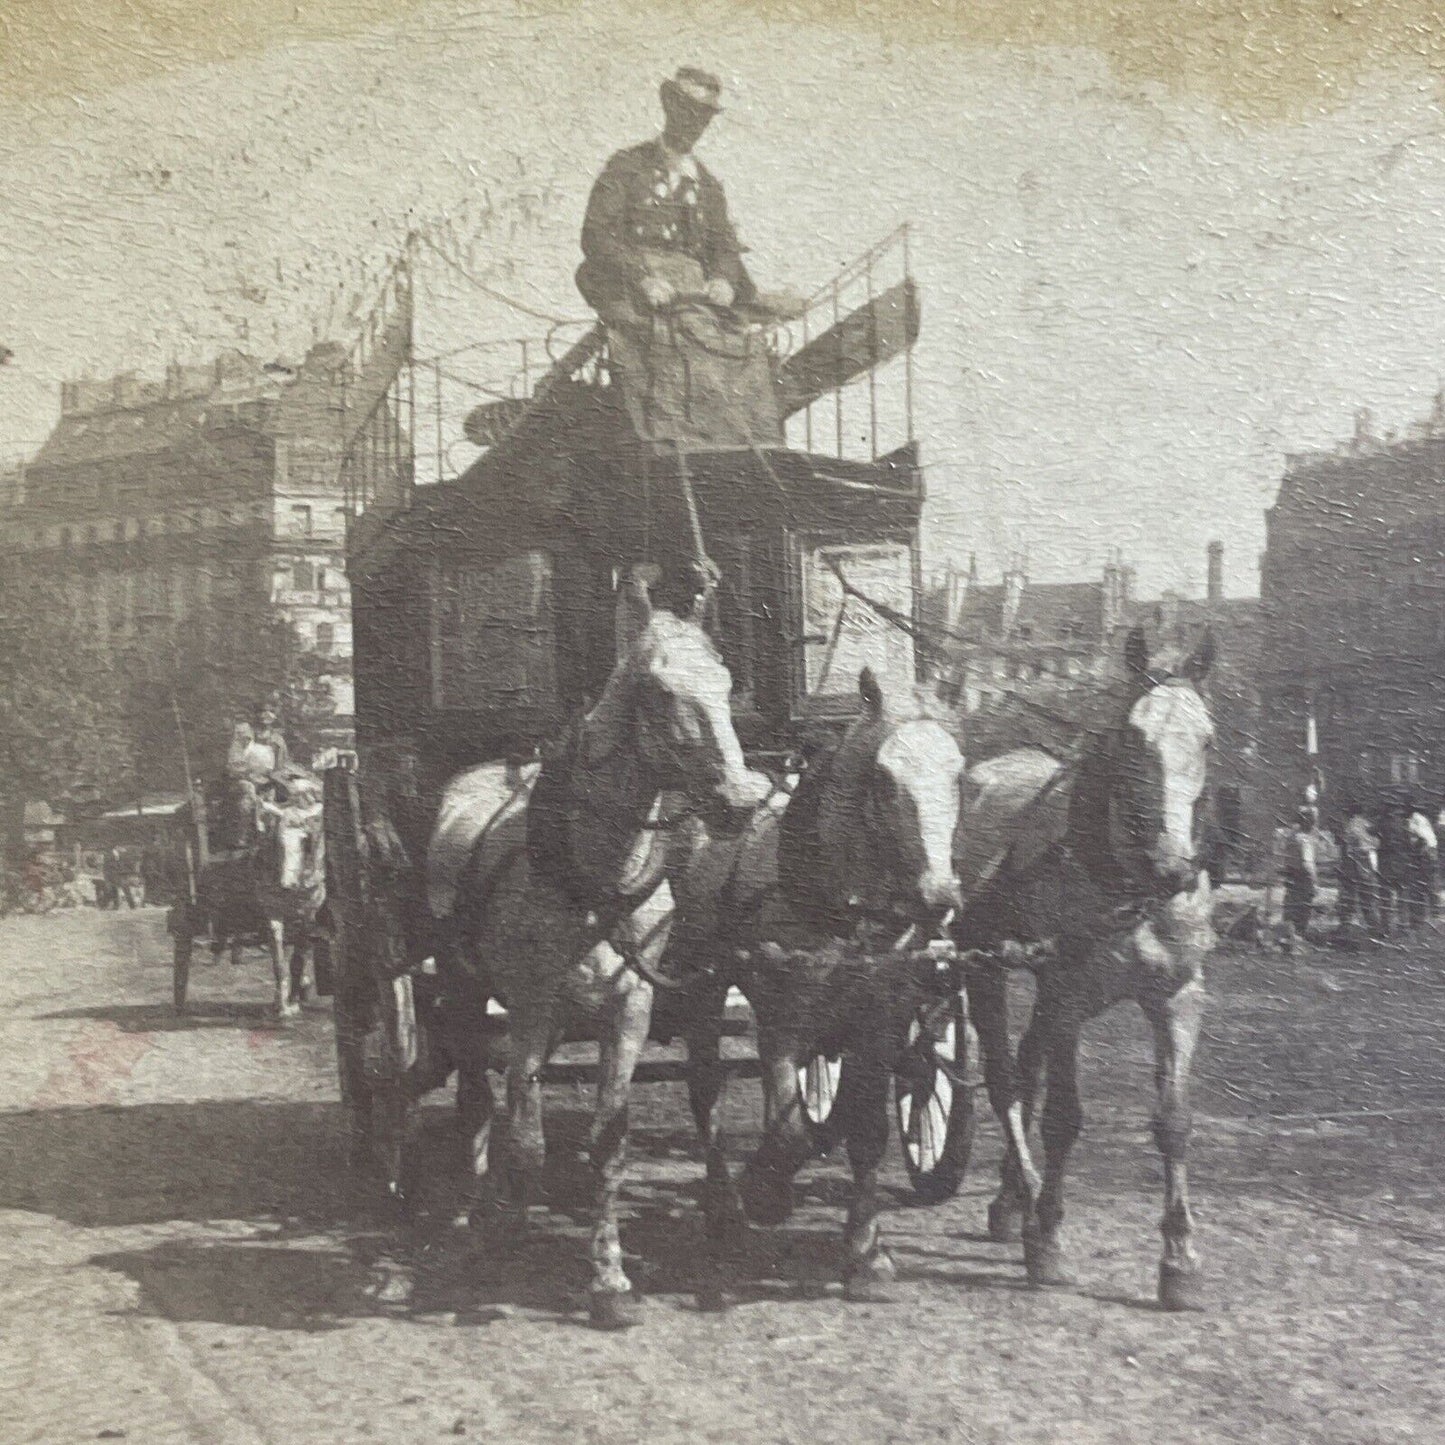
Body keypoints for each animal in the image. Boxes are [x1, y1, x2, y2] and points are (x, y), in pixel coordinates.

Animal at [424, 566, 774, 1329]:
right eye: (658, 690)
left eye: (726, 680)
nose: (738, 800)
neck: (589, 875)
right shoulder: (529, 1005)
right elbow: (526, 1140)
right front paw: (505, 1233)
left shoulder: (629, 1007)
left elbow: (609, 1143)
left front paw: (609, 1277)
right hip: (467, 990)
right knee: (478, 1097)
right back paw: (469, 1213)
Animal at [667, 664, 965, 1300]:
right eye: (883, 780)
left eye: (958, 775)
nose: (938, 898)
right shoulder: (781, 1018)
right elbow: (789, 1132)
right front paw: (766, 1190)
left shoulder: (880, 1022)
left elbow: (867, 1131)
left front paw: (865, 1252)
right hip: (701, 985)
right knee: (706, 1089)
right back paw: (725, 1204)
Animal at [959, 627, 1219, 1317]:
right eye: (1132, 739)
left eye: (1207, 739)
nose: (1172, 866)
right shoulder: (1068, 994)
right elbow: (1064, 1119)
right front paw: (1048, 1236)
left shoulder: (1177, 997)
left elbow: (1174, 1122)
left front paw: (1180, 1259)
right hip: (985, 967)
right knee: (1006, 1079)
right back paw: (1025, 1200)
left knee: (1027, 1064)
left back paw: (1010, 1198)